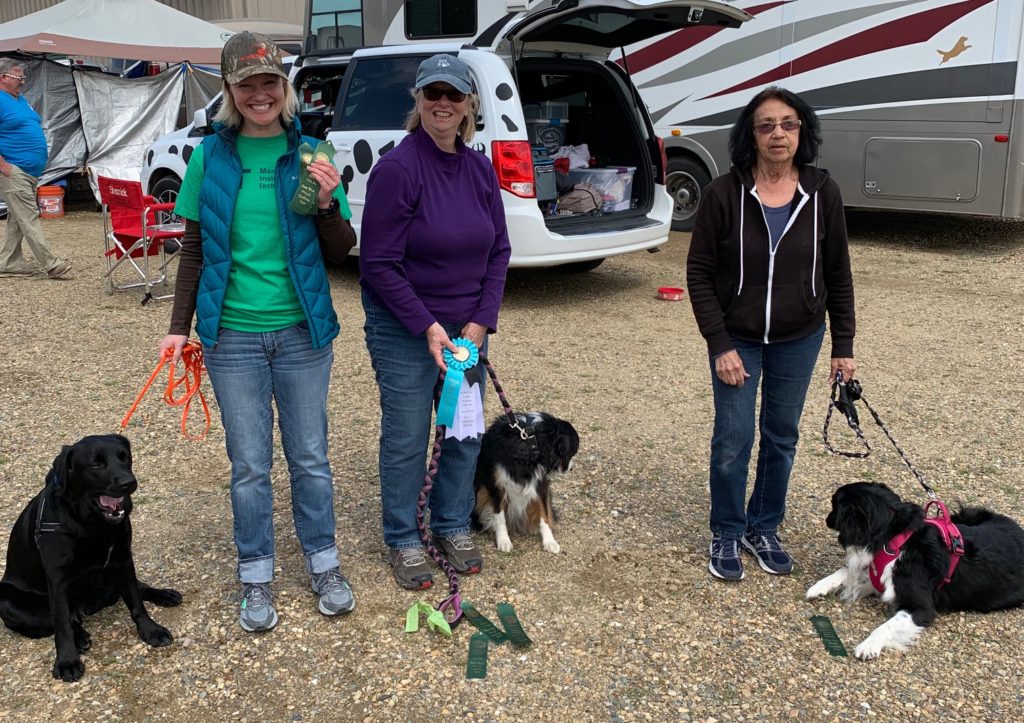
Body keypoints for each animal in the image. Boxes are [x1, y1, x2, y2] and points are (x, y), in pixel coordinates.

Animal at [0, 430, 182, 679]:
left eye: (125, 457)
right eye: (96, 464)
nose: (129, 483)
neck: (92, 523)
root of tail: (86, 608)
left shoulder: (123, 559)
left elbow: (136, 601)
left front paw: (150, 630)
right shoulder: (57, 579)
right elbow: (61, 624)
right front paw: (67, 661)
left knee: (136, 588)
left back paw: (164, 594)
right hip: (6, 599)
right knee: (57, 620)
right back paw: (79, 637)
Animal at [473, 411, 581, 553]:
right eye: (572, 452)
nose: (571, 468)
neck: (528, 439)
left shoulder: (541, 483)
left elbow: (544, 513)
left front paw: (550, 542)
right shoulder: (496, 485)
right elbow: (500, 516)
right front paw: (503, 541)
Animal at [802, 481, 1024, 655]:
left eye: (834, 504)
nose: (827, 519)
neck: (895, 540)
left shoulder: (921, 608)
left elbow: (887, 626)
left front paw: (868, 646)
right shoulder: (881, 578)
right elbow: (846, 572)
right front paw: (818, 587)